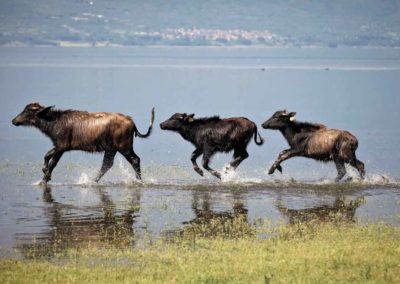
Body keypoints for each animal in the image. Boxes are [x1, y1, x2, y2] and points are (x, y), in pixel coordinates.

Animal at [10, 103, 155, 183]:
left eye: (27, 110)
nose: (14, 120)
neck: (53, 123)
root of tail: (133, 123)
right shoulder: (59, 146)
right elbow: (46, 155)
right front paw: (44, 172)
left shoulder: (62, 146)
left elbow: (52, 163)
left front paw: (45, 179)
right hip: (111, 149)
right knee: (107, 164)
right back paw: (92, 180)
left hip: (123, 146)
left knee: (135, 160)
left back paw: (139, 180)